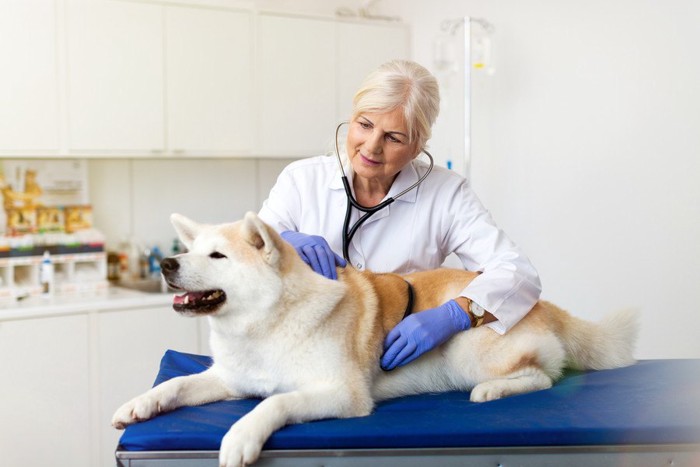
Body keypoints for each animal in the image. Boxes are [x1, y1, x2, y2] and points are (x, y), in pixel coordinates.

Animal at [112, 213, 636, 467]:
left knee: (545, 376)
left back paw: (492, 390)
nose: (166, 264)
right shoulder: (229, 378)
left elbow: (274, 403)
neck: (266, 325)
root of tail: (543, 304)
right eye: (192, 250)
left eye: (217, 256)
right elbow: (176, 385)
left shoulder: (342, 394)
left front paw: (240, 437)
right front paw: (138, 405)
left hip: (467, 347)